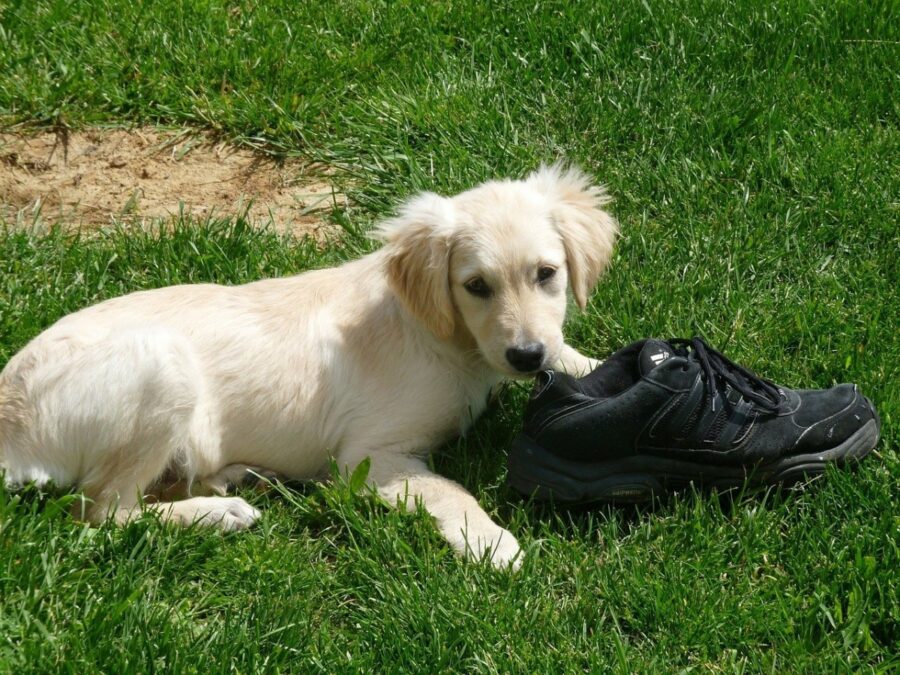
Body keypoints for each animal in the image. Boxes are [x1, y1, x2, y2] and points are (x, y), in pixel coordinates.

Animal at [0, 165, 620, 572]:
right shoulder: (370, 457)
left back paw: (233, 478)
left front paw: (596, 361)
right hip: (161, 364)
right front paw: (491, 541)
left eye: (547, 273)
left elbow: (569, 349)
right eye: (476, 286)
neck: (444, 335)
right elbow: (450, 489)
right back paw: (218, 512)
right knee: (99, 511)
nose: (525, 356)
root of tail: (10, 426)